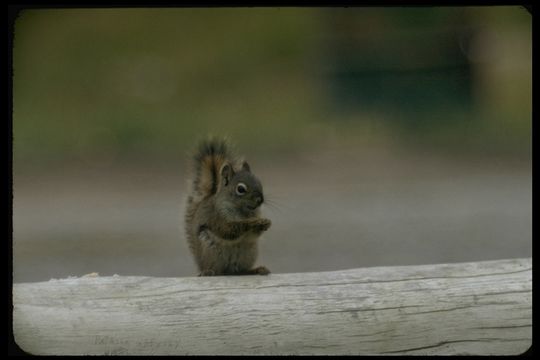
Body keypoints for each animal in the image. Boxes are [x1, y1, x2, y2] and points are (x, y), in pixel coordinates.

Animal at [185, 137, 272, 276]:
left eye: (259, 182)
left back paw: (256, 269)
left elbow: (254, 235)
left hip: (249, 252)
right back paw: (209, 272)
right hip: (210, 251)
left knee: (241, 271)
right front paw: (253, 223)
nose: (260, 200)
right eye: (241, 189)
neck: (244, 212)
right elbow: (227, 230)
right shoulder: (216, 216)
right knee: (218, 270)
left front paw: (265, 222)